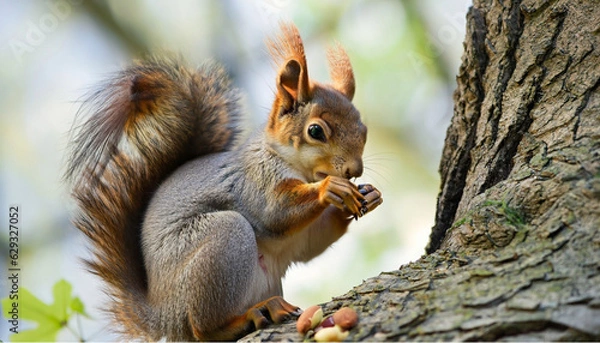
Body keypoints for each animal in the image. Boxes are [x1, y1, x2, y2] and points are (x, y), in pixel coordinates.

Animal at [65, 22, 382, 342]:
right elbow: (275, 211)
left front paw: (369, 196)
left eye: (364, 130)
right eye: (315, 131)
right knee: (204, 329)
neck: (293, 165)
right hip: (222, 241)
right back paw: (250, 316)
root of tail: (162, 318)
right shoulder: (253, 180)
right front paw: (331, 188)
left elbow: (312, 244)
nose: (354, 169)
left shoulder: (303, 238)